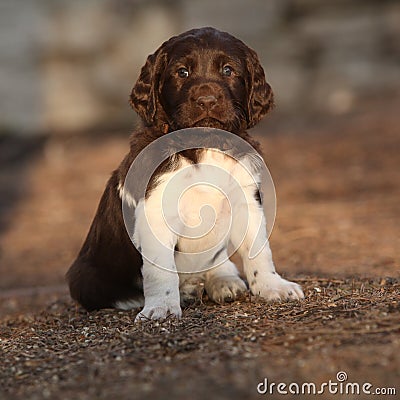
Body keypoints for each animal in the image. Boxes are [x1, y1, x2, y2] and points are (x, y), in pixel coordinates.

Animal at [66, 27, 304, 322]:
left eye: (228, 70)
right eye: (182, 72)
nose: (207, 101)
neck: (204, 144)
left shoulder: (246, 200)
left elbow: (258, 248)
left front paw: (273, 286)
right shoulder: (155, 211)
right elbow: (160, 270)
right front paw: (161, 308)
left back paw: (222, 281)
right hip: (85, 276)